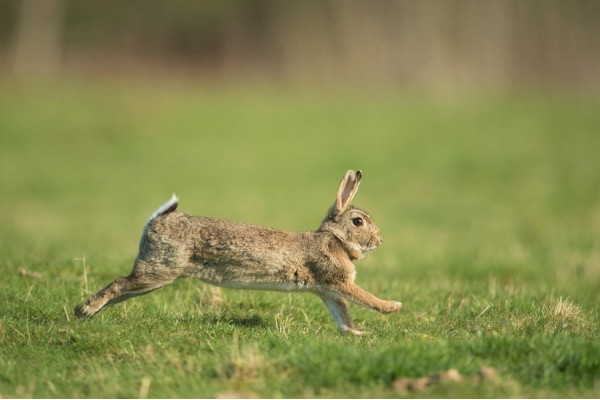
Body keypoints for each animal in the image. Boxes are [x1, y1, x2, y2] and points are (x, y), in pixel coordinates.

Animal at [76, 169, 404, 334]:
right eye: (358, 221)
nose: (380, 240)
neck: (333, 238)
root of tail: (157, 221)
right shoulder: (339, 281)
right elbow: (365, 298)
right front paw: (393, 307)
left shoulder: (328, 291)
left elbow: (342, 315)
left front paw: (358, 335)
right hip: (158, 270)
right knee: (119, 283)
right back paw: (85, 310)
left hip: (153, 278)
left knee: (123, 289)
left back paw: (88, 314)